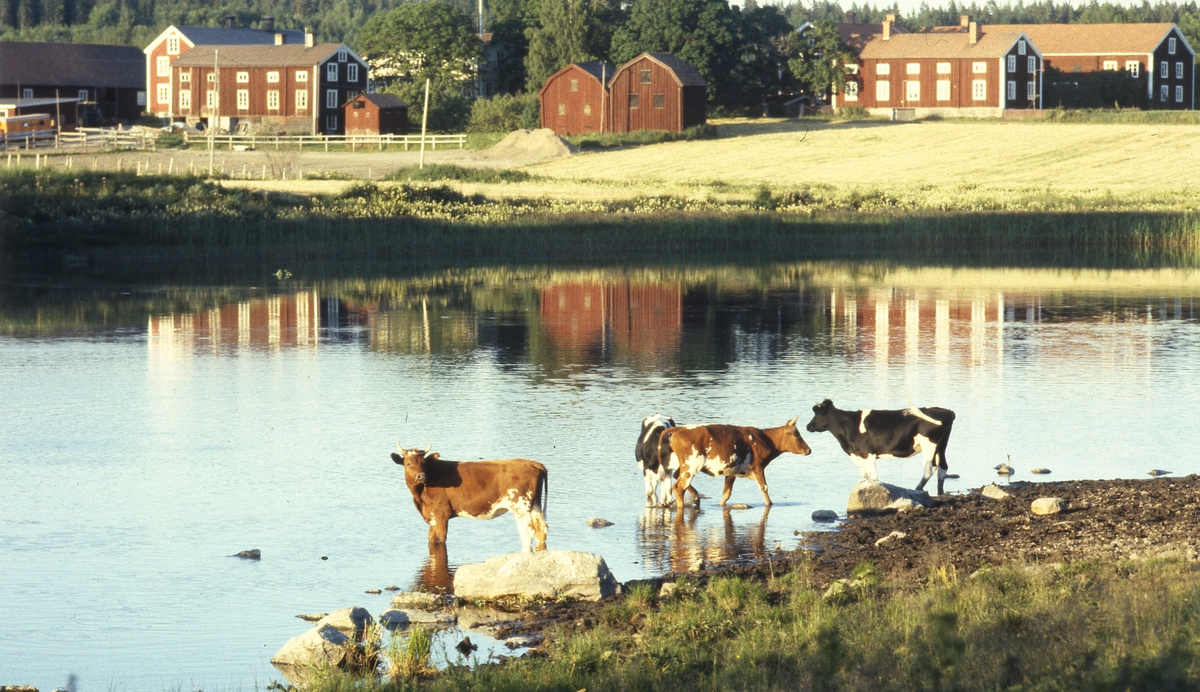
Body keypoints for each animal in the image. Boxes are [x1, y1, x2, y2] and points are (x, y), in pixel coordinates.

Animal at [388, 446, 549, 554]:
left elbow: (441, 539)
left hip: (521, 507)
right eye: (408, 463)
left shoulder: (441, 514)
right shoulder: (432, 517)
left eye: (424, 463)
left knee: (527, 533)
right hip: (535, 505)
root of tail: (532, 462)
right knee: (541, 530)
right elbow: (431, 539)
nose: (421, 476)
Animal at [657, 414, 816, 508]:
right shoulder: (758, 467)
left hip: (685, 466)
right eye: (796, 435)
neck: (763, 438)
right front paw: (769, 503)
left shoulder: (731, 472)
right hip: (691, 466)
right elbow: (764, 487)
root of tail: (678, 430)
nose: (809, 450)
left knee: (677, 478)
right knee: (679, 487)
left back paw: (695, 495)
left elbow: (726, 494)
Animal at [806, 398, 955, 491]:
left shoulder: (867, 453)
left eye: (816, 414)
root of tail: (946, 411)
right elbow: (864, 477)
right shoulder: (859, 455)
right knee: (942, 467)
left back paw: (917, 488)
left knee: (929, 468)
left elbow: (873, 477)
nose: (808, 426)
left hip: (929, 445)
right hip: (942, 446)